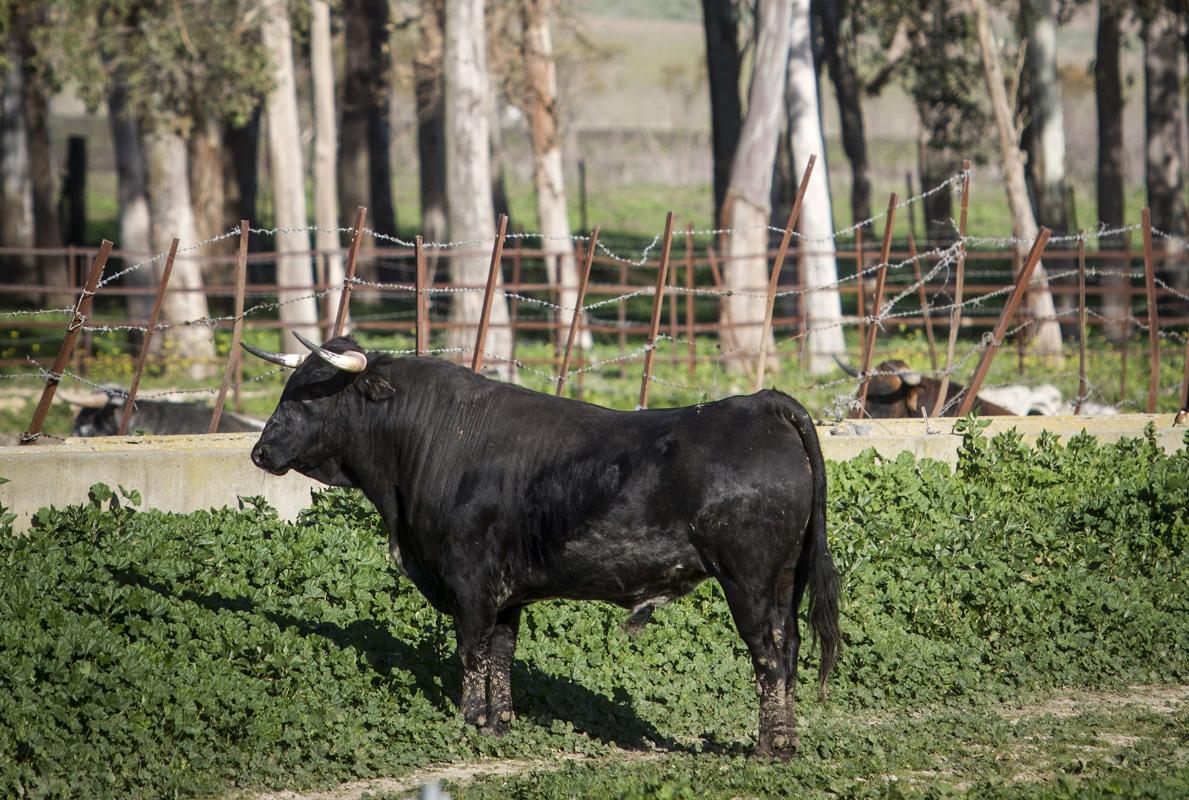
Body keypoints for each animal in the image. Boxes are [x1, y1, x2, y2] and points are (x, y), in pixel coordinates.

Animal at [248, 332, 846, 756]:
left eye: (307, 397)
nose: (259, 451)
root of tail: (762, 403)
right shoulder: (506, 592)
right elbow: (500, 653)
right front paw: (499, 723)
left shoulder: (469, 579)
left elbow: (471, 650)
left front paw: (469, 722)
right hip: (785, 580)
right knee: (790, 648)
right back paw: (786, 742)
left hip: (748, 579)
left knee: (768, 653)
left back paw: (769, 748)